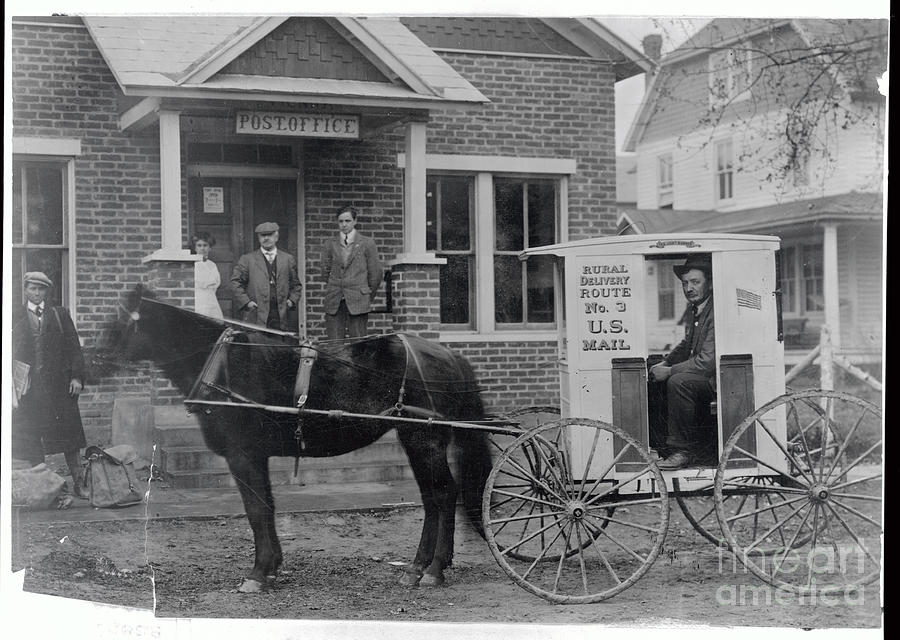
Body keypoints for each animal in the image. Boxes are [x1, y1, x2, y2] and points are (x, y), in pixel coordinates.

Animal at [110, 288, 500, 592]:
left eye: (123, 322)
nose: (100, 358)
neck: (223, 365)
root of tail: (449, 354)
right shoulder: (257, 456)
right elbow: (266, 506)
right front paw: (272, 568)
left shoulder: (242, 455)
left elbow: (256, 510)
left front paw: (257, 574)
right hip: (415, 439)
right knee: (435, 498)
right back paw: (423, 566)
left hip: (424, 438)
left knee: (443, 495)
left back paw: (431, 570)